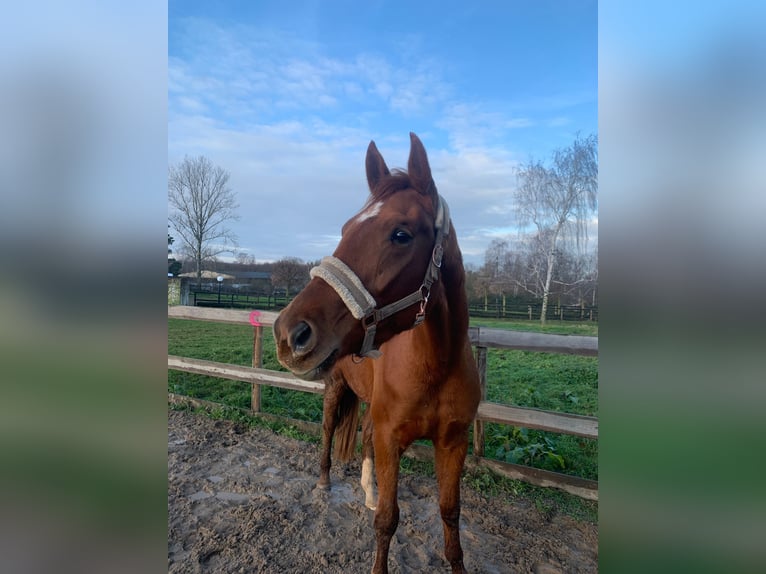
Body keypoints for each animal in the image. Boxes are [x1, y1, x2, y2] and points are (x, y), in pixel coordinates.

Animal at [274, 133, 480, 572]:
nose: (288, 333)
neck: (437, 364)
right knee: (328, 432)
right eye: (345, 228)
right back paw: (324, 482)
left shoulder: (453, 443)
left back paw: (368, 491)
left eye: (401, 234)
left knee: (364, 434)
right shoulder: (391, 438)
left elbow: (450, 514)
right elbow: (388, 519)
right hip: (335, 391)